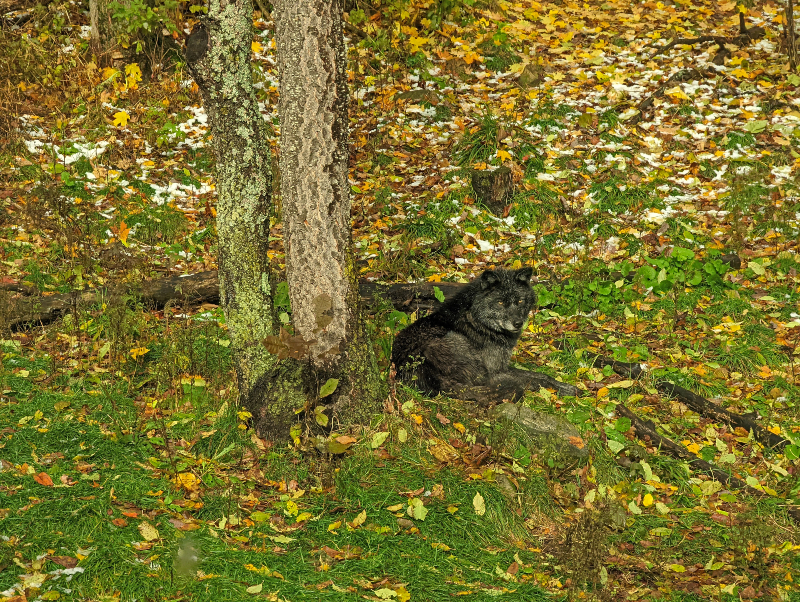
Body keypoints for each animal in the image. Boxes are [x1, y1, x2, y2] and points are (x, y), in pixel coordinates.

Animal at [390, 264, 580, 400]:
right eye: (501, 302)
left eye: (519, 301)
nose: (518, 323)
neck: (478, 321)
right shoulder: (496, 370)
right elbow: (535, 376)